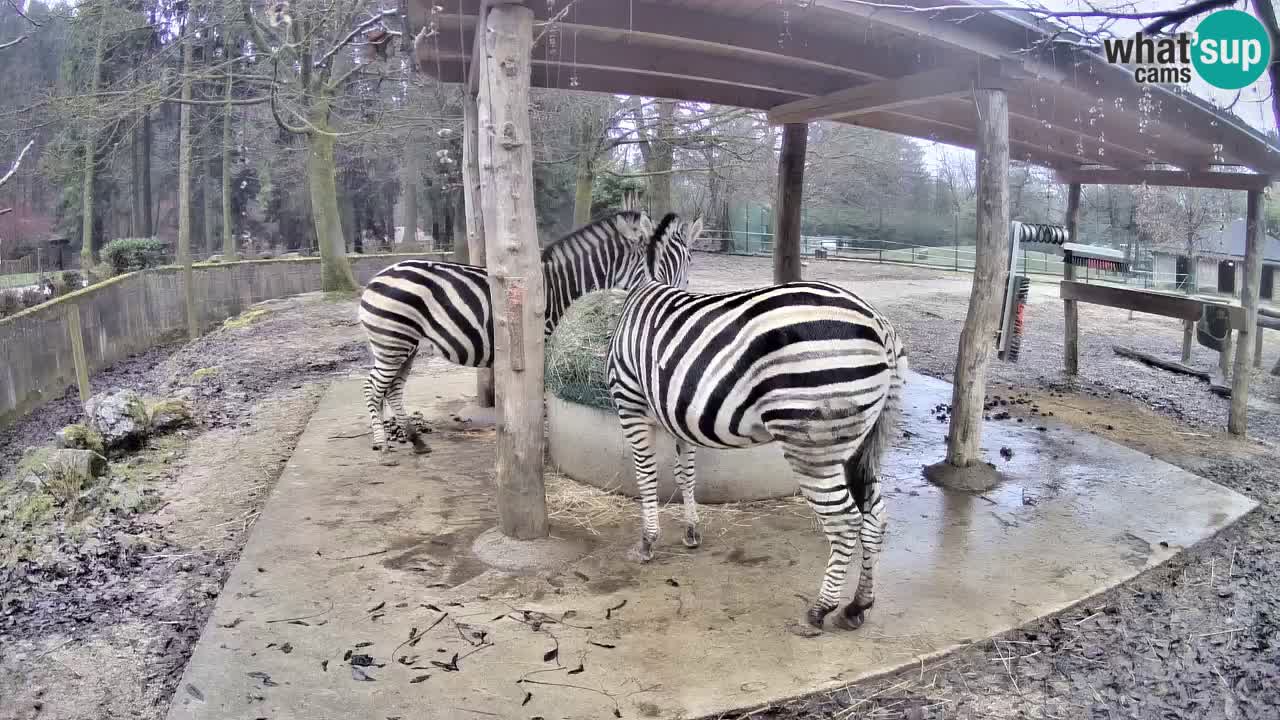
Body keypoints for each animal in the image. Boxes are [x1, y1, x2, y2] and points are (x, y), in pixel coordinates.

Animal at [358, 208, 691, 448]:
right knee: (373, 386)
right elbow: (540, 397)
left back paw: (415, 440)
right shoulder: (540, 343)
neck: (561, 285)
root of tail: (375, 278)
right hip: (392, 342)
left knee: (393, 389)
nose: (675, 306)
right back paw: (381, 443)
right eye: (663, 260)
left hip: (407, 345)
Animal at [609, 211, 911, 632]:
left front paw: (647, 542)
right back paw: (858, 605)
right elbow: (685, 474)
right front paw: (691, 532)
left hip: (812, 445)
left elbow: (646, 475)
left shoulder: (630, 402)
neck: (652, 284)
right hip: (861, 443)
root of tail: (878, 323)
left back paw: (820, 609)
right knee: (875, 517)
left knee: (846, 521)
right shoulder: (678, 416)